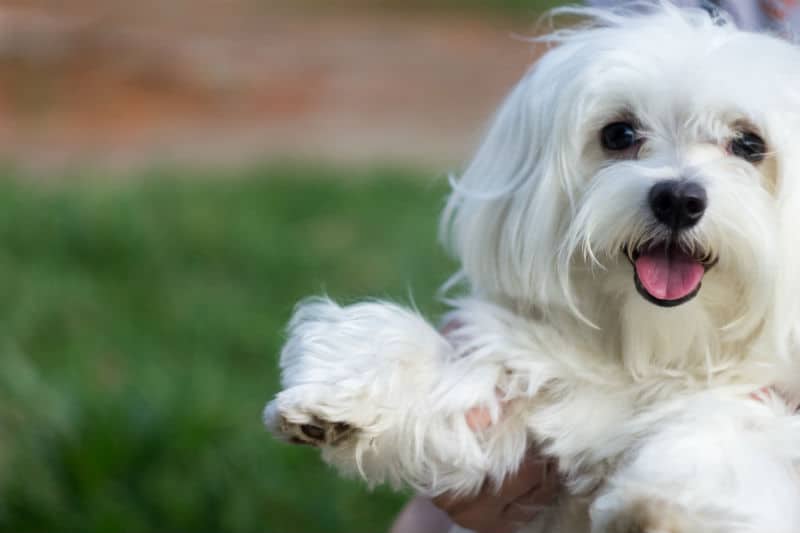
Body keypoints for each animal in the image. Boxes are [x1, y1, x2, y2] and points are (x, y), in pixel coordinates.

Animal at [266, 5, 800, 532]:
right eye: (619, 134)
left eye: (749, 144)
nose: (677, 199)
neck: (652, 353)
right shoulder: (532, 394)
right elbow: (462, 378)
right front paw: (348, 387)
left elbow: (735, 431)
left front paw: (669, 503)